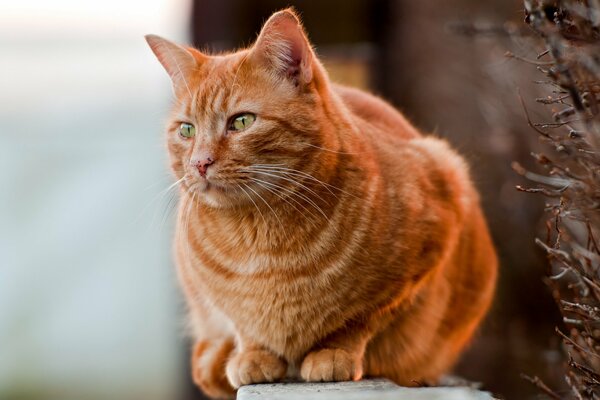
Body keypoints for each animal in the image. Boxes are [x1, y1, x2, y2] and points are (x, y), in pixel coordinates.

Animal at [144, 7, 496, 398]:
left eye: (242, 121)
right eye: (186, 130)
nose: (199, 163)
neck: (261, 238)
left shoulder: (434, 221)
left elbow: (360, 318)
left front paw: (334, 351)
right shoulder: (209, 293)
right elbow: (244, 325)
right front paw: (254, 354)